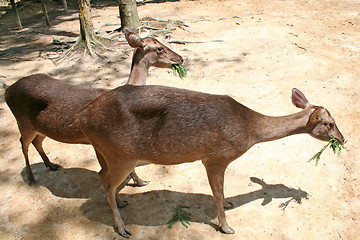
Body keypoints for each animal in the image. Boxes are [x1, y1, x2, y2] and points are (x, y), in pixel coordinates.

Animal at [5, 26, 184, 188]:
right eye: (159, 47)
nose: (181, 59)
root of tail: (7, 90)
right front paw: (139, 182)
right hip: (23, 122)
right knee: (23, 143)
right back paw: (31, 178)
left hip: (39, 127)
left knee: (37, 142)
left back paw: (52, 165)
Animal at [75, 85, 344, 237]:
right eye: (330, 124)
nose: (343, 139)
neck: (248, 131)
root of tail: (83, 118)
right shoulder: (216, 157)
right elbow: (217, 191)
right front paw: (226, 227)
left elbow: (220, 192)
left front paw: (229, 205)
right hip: (121, 154)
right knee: (106, 181)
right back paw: (122, 228)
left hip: (110, 153)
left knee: (102, 175)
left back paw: (122, 201)